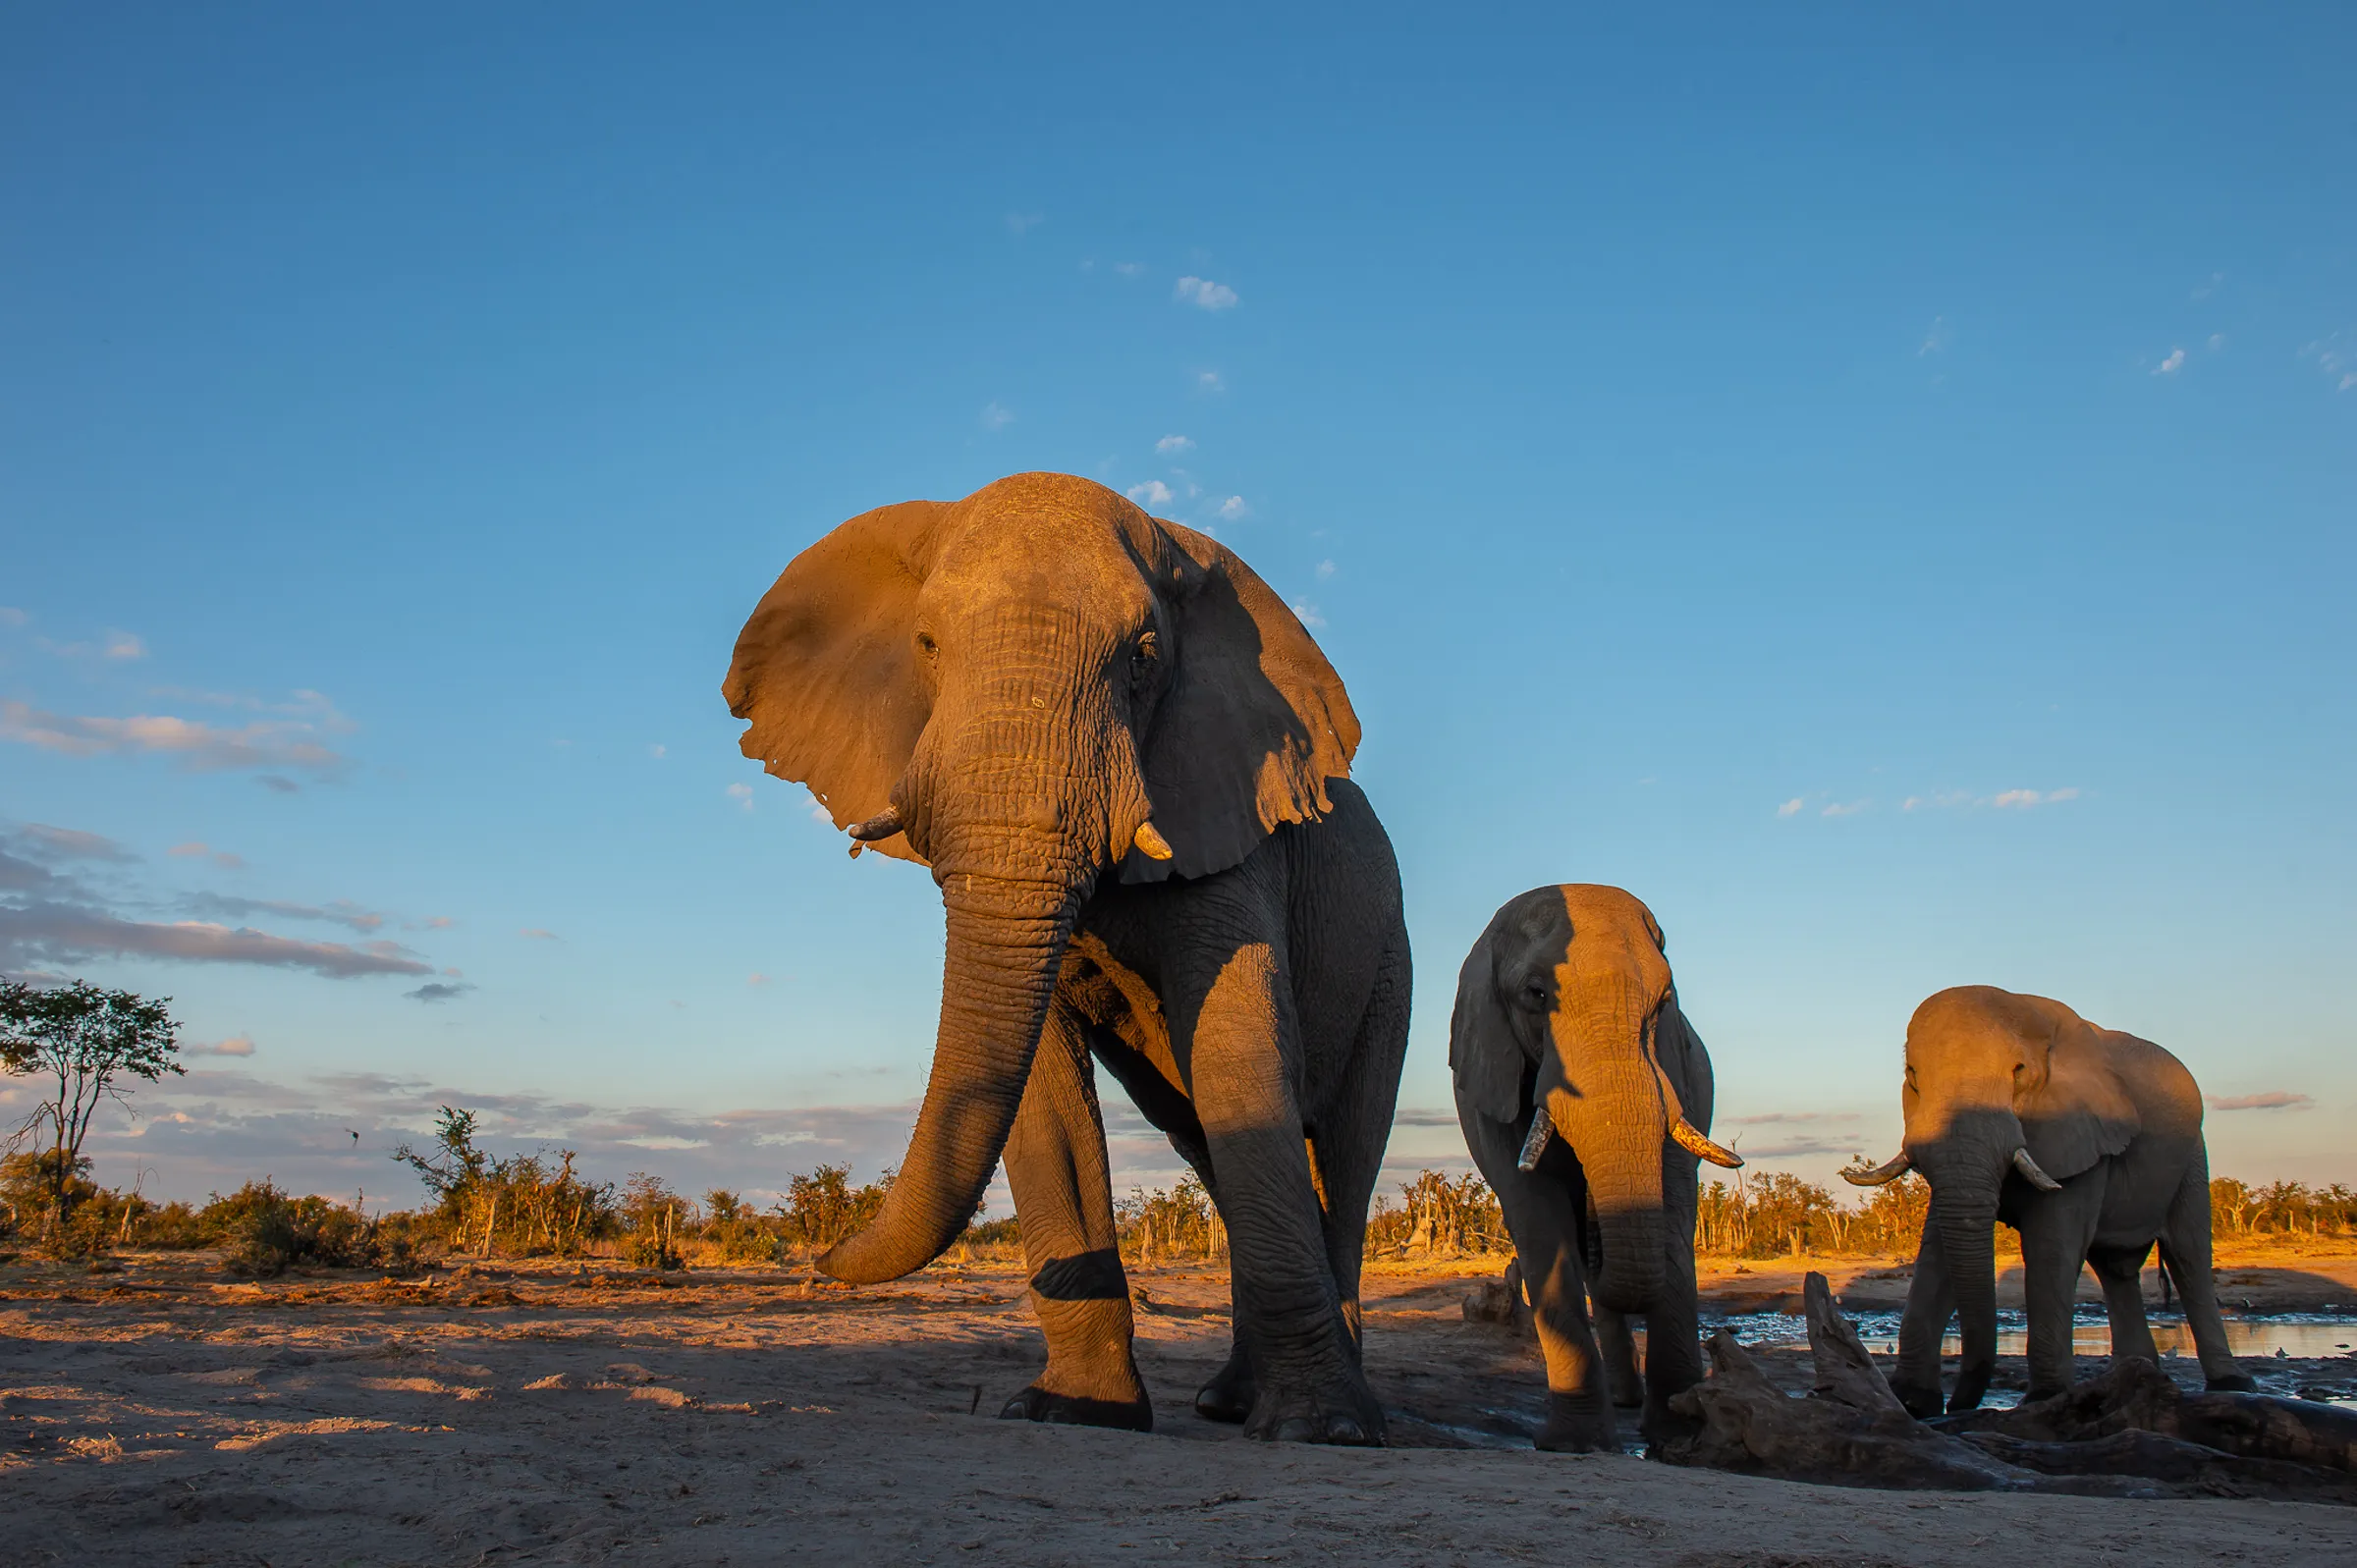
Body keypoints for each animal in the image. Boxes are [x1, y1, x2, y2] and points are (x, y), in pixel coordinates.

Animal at [723, 471, 1412, 1443]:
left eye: (1143, 656)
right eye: (927, 646)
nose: (816, 1253)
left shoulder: (1231, 819)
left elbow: (1238, 1046)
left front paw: (1321, 1430)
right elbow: (1042, 1087)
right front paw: (1070, 1411)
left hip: (1391, 962)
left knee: (1343, 1155)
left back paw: (1340, 1412)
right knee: (1209, 1142)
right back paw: (1226, 1402)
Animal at [1450, 884, 1743, 1451]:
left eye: (1664, 1002)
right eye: (1536, 995)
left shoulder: (1671, 1068)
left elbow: (1672, 1201)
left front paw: (1680, 1433)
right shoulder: (1488, 1080)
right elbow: (1534, 1212)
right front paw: (1573, 1443)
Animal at [1845, 984, 2254, 1416]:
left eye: (2019, 1072)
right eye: (1912, 1076)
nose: (1959, 1406)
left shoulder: (2082, 1132)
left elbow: (2052, 1247)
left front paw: (2045, 1398)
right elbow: (1938, 1250)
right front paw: (1912, 1402)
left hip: (2193, 1155)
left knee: (2188, 1258)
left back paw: (2233, 1385)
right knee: (2116, 1269)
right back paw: (2136, 1371)